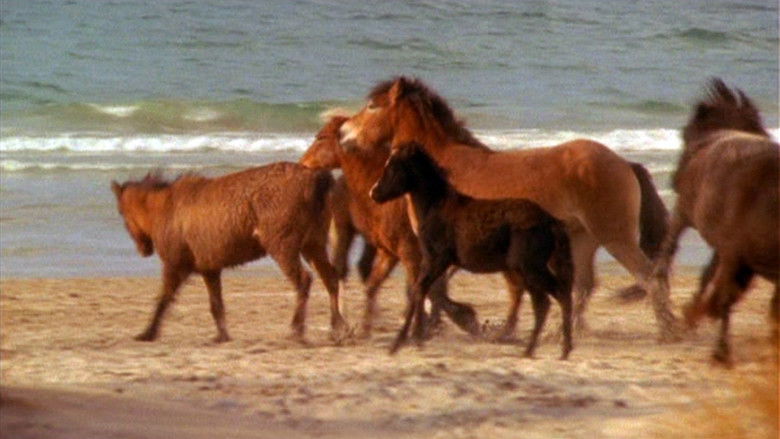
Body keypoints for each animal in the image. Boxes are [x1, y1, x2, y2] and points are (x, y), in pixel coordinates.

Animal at [111, 163, 349, 343]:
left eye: (121, 211)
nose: (143, 249)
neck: (166, 206)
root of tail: (315, 178)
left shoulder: (175, 265)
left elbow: (164, 299)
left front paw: (148, 333)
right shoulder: (210, 269)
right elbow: (216, 304)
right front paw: (222, 336)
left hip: (283, 248)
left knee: (304, 280)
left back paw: (297, 330)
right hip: (313, 246)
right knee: (330, 279)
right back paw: (338, 329)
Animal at [301, 116, 482, 337]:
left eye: (321, 137)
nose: (303, 163)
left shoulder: (403, 253)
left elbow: (413, 287)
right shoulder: (397, 253)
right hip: (345, 233)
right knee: (341, 271)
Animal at [371, 142, 574, 359]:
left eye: (394, 166)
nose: (374, 193)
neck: (436, 207)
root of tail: (551, 220)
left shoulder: (437, 260)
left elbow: (419, 290)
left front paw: (400, 343)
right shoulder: (430, 261)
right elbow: (420, 291)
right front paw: (416, 339)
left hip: (531, 268)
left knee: (559, 295)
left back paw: (563, 349)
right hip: (526, 271)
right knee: (543, 303)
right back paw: (532, 350)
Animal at [650, 78, 779, 365]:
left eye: (684, 132)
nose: (674, 180)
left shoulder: (685, 215)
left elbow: (672, 260)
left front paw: (677, 318)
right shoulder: (727, 247)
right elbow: (706, 277)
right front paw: (685, 316)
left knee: (727, 297)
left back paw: (720, 350)